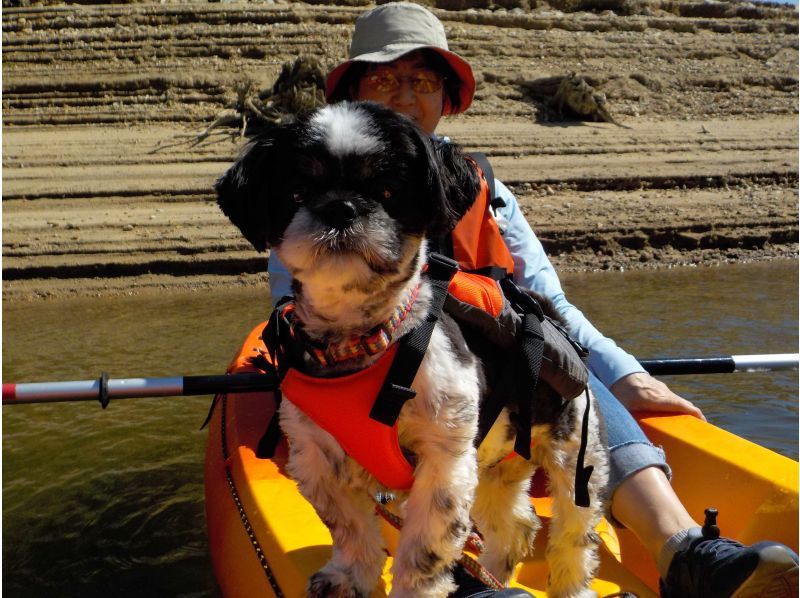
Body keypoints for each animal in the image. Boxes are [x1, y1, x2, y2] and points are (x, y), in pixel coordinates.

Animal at [216, 103, 608, 598]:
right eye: (296, 191)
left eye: (388, 191)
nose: (341, 207)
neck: (365, 342)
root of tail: (547, 313)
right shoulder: (317, 458)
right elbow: (349, 529)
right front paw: (348, 576)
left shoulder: (443, 462)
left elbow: (425, 549)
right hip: (498, 464)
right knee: (516, 525)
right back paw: (494, 572)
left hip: (574, 451)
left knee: (576, 531)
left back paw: (570, 583)